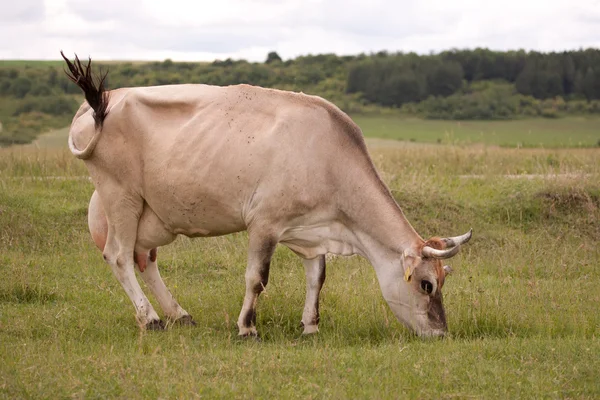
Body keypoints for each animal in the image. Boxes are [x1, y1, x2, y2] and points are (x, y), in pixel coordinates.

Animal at [62, 50, 474, 338]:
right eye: (427, 284)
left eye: (444, 280)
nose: (440, 333)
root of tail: (102, 102)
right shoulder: (264, 223)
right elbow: (256, 277)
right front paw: (247, 327)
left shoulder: (311, 229)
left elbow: (317, 277)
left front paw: (311, 326)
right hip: (121, 196)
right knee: (119, 256)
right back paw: (150, 320)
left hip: (153, 214)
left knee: (144, 258)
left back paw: (179, 314)